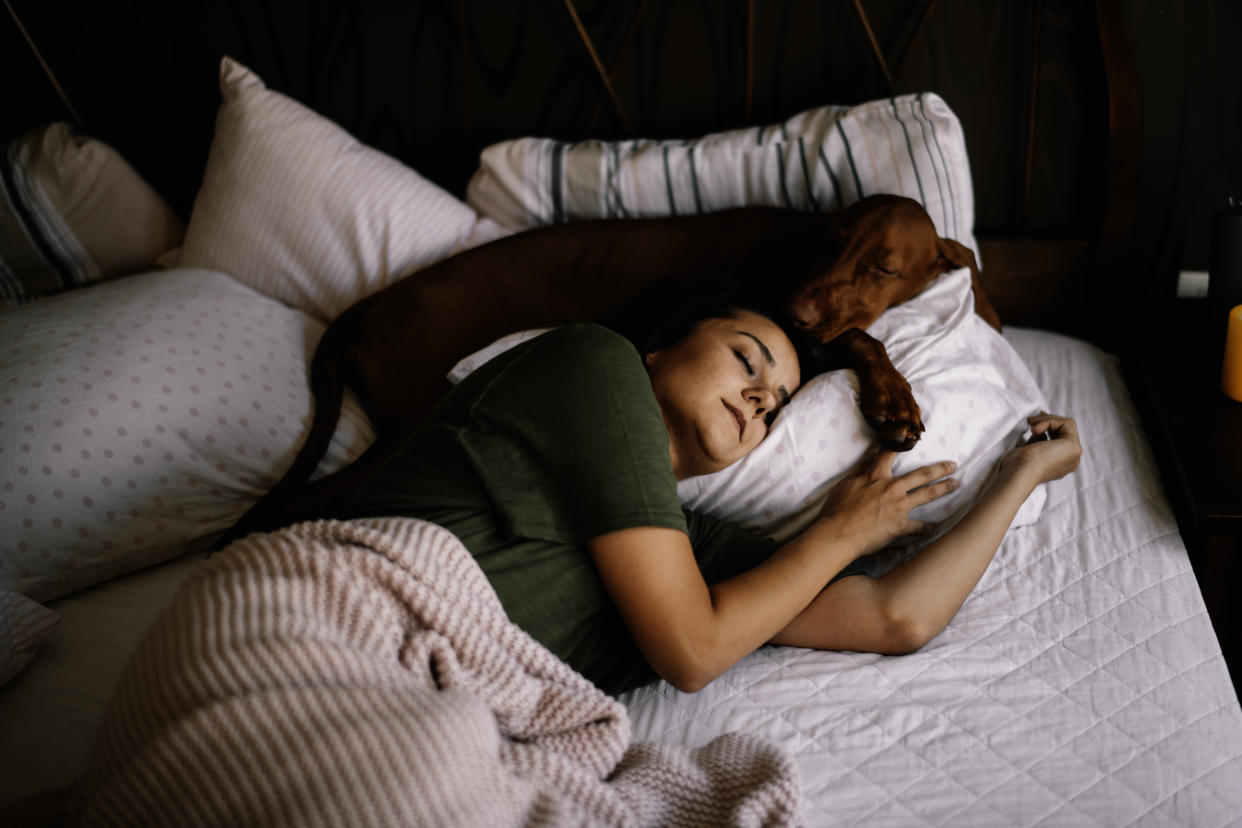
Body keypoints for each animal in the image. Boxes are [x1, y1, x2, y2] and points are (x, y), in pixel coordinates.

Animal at [226, 197, 998, 541]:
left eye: (884, 267)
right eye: (832, 241)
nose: (798, 309)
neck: (793, 250)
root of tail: (373, 303)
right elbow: (862, 340)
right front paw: (893, 400)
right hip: (407, 421)